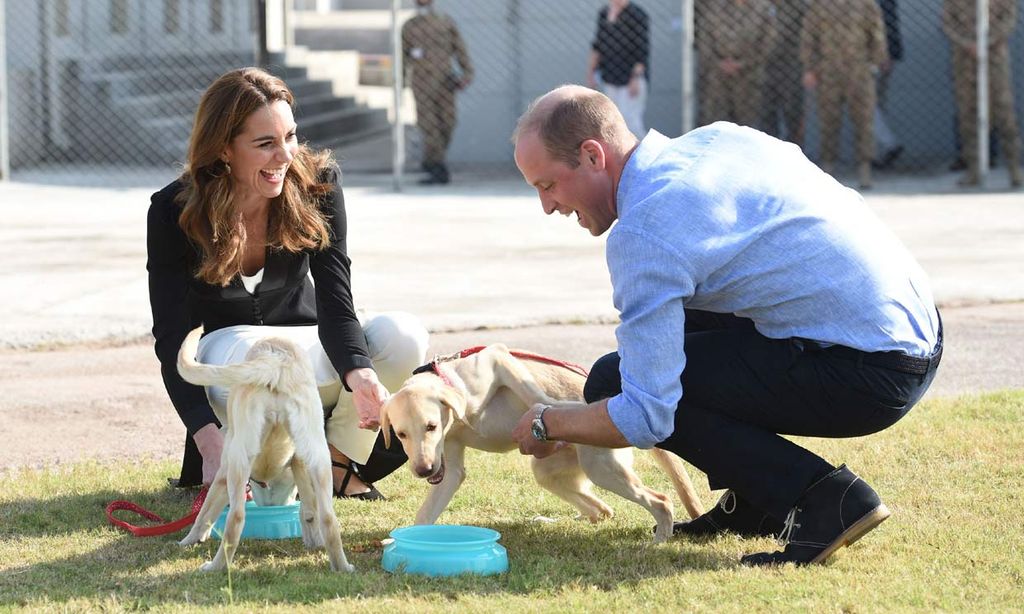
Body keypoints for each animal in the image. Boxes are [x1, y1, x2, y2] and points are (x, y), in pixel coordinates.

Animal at [174, 329, 354, 573]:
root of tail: (276, 360)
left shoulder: (223, 471)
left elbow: (205, 512)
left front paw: (188, 540)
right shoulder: (300, 463)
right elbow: (309, 511)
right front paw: (313, 540)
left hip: (239, 457)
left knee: (236, 518)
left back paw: (215, 566)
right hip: (318, 454)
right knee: (328, 518)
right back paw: (342, 567)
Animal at [380, 345, 708, 540]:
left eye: (431, 426)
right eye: (400, 434)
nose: (423, 470)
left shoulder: (497, 357)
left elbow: (533, 393)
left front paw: (552, 407)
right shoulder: (450, 468)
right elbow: (425, 514)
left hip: (603, 470)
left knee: (660, 501)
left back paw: (661, 538)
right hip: (551, 473)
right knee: (602, 511)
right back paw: (557, 520)